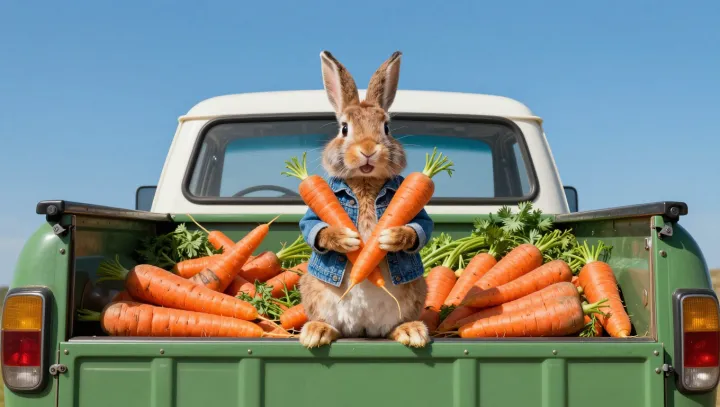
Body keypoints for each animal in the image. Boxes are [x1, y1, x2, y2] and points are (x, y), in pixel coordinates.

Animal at [296, 50, 433, 349]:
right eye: (344, 128)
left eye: (387, 127)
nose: (368, 149)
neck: (365, 183)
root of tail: (362, 329)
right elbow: (312, 226)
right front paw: (345, 239)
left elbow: (421, 226)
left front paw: (391, 237)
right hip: (315, 293)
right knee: (333, 326)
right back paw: (316, 332)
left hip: (413, 294)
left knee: (392, 328)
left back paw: (411, 332)